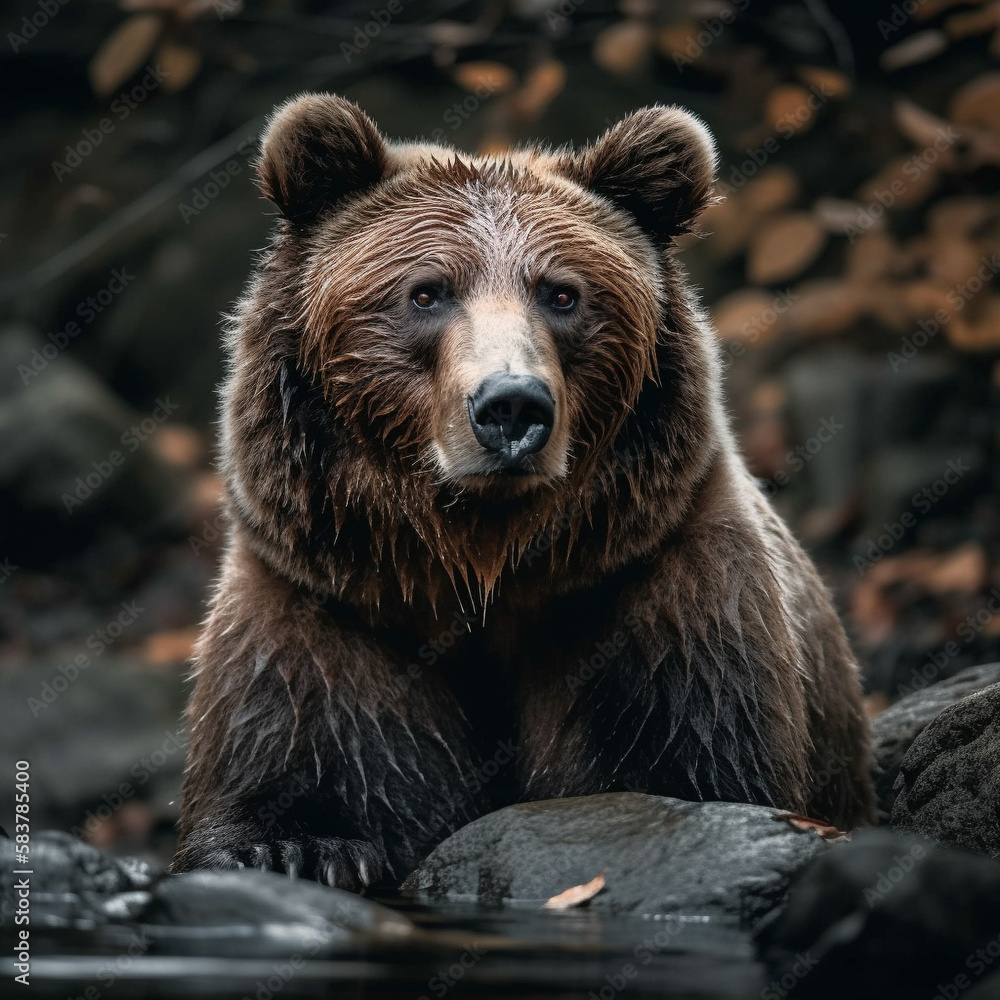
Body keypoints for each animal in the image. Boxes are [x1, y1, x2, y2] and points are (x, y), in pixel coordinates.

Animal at [170, 93, 876, 890]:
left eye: (563, 293)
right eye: (427, 292)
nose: (510, 405)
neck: (483, 566)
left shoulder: (653, 592)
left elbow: (701, 755)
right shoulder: (327, 605)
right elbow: (294, 744)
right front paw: (298, 848)